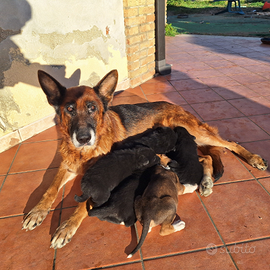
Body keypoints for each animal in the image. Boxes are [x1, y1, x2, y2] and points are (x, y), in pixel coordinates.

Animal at [22, 69, 266, 249]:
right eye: (70, 109)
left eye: (92, 108)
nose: (83, 138)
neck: (85, 152)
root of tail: (174, 104)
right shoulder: (67, 166)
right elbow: (50, 189)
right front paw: (37, 211)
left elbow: (84, 204)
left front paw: (67, 226)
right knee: (206, 156)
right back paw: (206, 181)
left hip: (193, 132)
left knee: (228, 143)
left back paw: (252, 158)